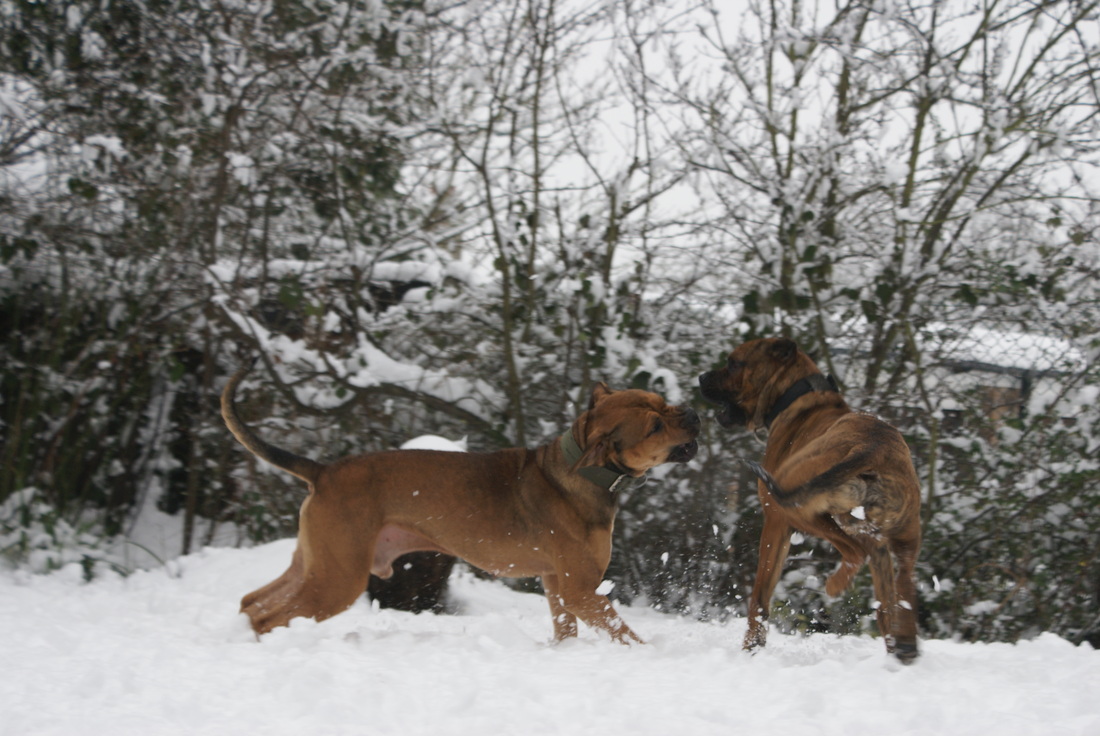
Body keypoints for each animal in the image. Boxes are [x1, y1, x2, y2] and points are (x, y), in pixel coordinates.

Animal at [223, 367, 699, 642]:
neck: (580, 471)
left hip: (313, 564)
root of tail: (323, 471)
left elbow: (565, 632)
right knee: (267, 616)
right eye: (655, 426)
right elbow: (625, 632)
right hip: (338, 579)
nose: (694, 413)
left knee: (251, 602)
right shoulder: (580, 591)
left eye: (663, 402)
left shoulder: (556, 586)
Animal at [699, 336, 924, 660]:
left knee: (855, 552)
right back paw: (904, 643)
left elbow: (760, 599)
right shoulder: (882, 545)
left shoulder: (776, 524)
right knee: (900, 586)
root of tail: (873, 446)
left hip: (800, 509)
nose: (702, 377)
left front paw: (752, 648)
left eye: (733, 363)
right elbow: (887, 605)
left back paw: (834, 586)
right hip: (901, 535)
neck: (797, 399)